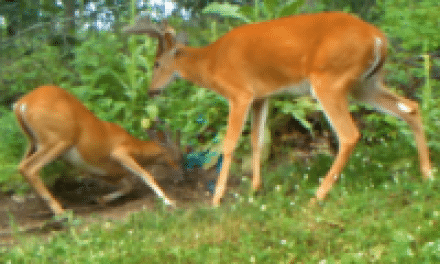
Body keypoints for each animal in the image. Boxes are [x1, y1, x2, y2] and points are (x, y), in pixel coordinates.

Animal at [13, 85, 182, 216]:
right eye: (180, 156)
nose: (181, 174)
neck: (137, 147)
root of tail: (22, 104)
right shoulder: (119, 152)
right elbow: (146, 175)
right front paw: (169, 201)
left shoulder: (106, 172)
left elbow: (128, 186)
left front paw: (100, 199)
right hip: (58, 139)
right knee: (29, 168)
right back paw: (60, 212)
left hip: (33, 142)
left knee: (21, 166)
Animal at [122, 11, 432, 206]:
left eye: (156, 64)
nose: (151, 91)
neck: (212, 63)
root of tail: (379, 38)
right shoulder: (261, 97)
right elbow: (257, 141)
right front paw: (255, 189)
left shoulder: (239, 94)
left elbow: (229, 144)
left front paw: (217, 198)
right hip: (365, 84)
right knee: (411, 107)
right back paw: (427, 173)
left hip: (329, 80)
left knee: (349, 134)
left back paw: (318, 196)